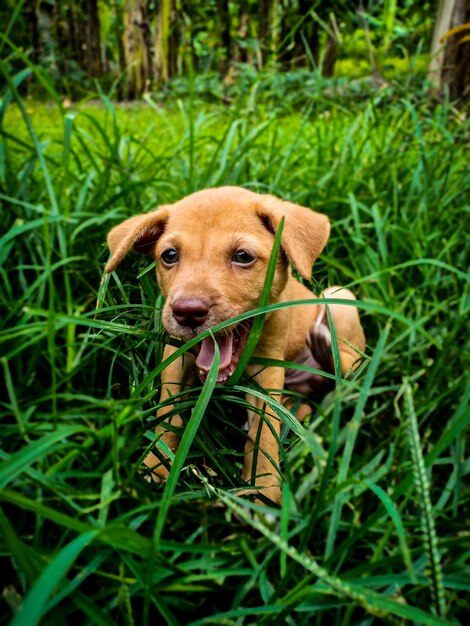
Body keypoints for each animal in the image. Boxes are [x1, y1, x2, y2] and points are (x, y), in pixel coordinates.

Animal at [104, 185, 366, 502]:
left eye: (242, 256)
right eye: (169, 255)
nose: (187, 312)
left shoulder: (269, 371)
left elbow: (264, 434)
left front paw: (263, 491)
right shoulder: (176, 356)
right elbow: (168, 411)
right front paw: (156, 465)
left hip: (339, 298)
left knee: (348, 371)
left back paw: (324, 348)